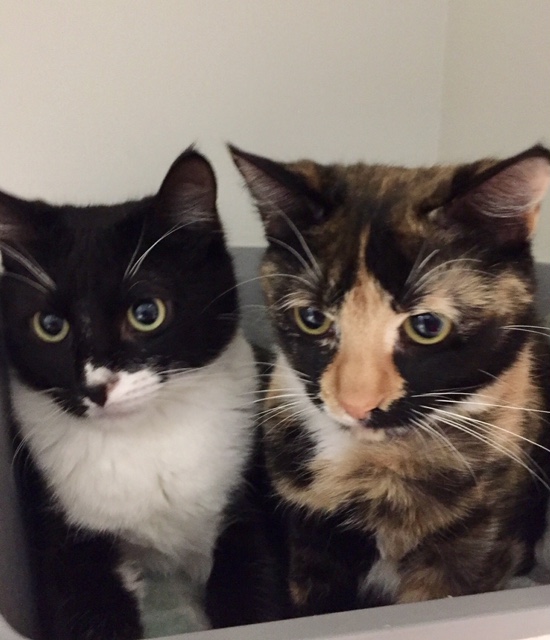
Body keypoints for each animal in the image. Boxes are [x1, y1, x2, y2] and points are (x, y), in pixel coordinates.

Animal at [0, 149, 286, 638]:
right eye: (50, 326)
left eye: (147, 313)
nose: (97, 386)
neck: (143, 438)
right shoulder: (67, 536)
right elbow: (87, 610)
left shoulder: (244, 502)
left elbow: (256, 586)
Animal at [230, 143, 550, 616]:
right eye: (312, 318)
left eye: (428, 326)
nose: (356, 403)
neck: (376, 469)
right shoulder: (309, 539)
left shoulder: (473, 546)